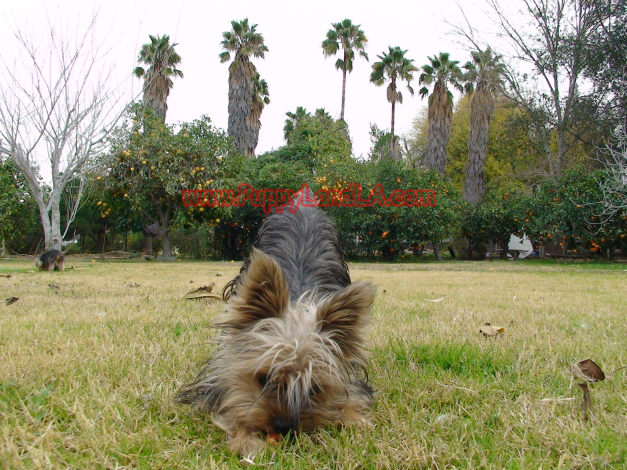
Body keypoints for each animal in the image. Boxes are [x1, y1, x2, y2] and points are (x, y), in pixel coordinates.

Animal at [175, 193, 378, 458]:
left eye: (313, 389)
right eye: (263, 379)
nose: (284, 426)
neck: (297, 303)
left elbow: (352, 399)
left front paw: (353, 418)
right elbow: (231, 405)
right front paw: (246, 439)